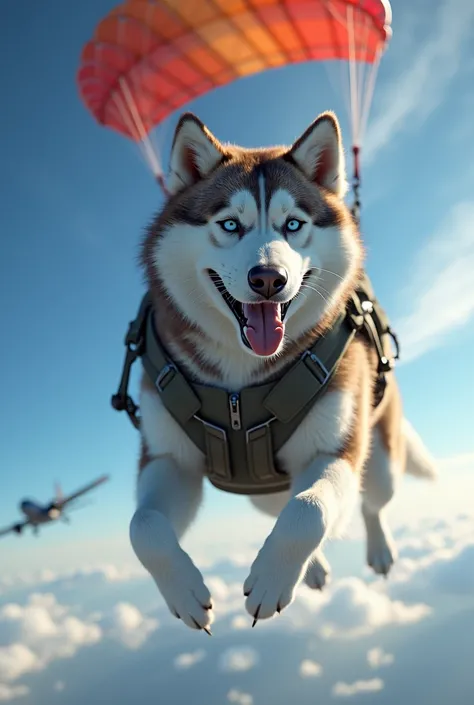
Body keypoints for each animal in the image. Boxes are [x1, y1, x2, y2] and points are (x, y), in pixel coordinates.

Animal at [128, 111, 436, 632]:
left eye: (293, 224)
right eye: (230, 224)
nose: (269, 279)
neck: (242, 379)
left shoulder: (336, 448)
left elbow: (309, 511)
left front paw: (273, 579)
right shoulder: (170, 459)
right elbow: (143, 526)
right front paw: (184, 593)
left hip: (380, 458)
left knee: (368, 501)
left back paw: (377, 550)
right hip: (258, 489)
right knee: (279, 502)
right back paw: (313, 570)